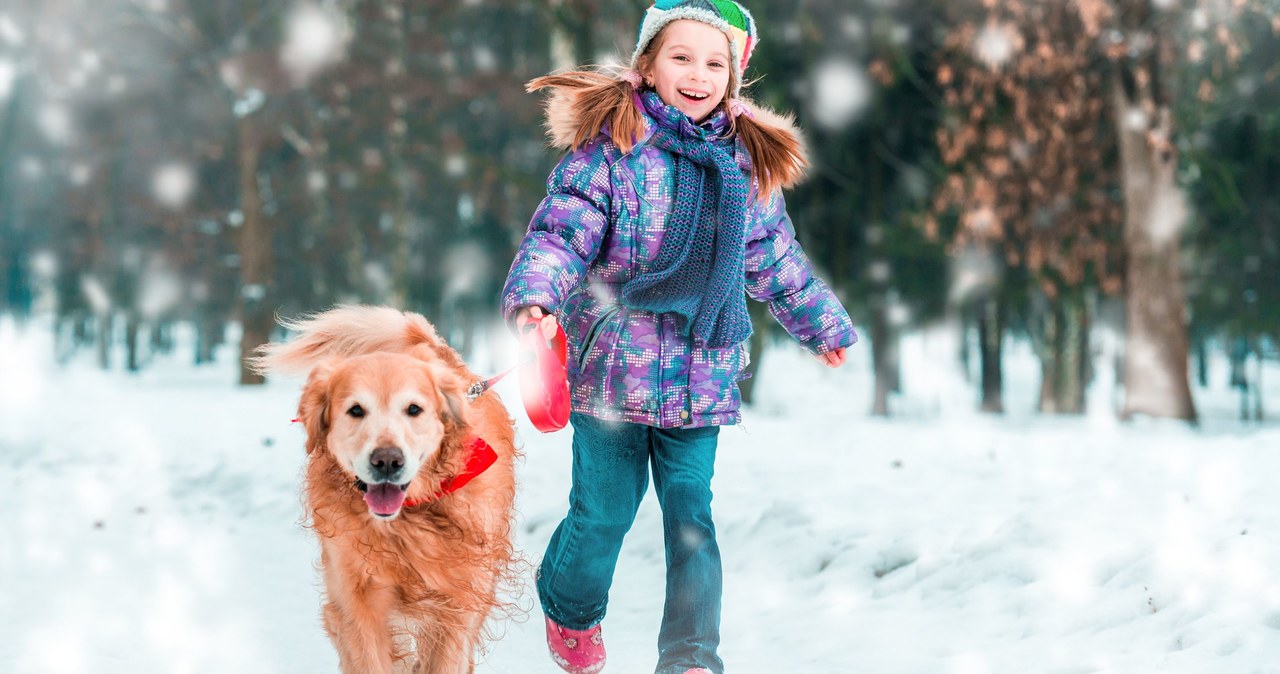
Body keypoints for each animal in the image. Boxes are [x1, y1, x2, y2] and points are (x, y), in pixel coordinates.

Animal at [250, 306, 519, 674]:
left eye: (414, 409)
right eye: (356, 410)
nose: (388, 460)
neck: (405, 524)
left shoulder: (456, 606)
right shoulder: (356, 605)